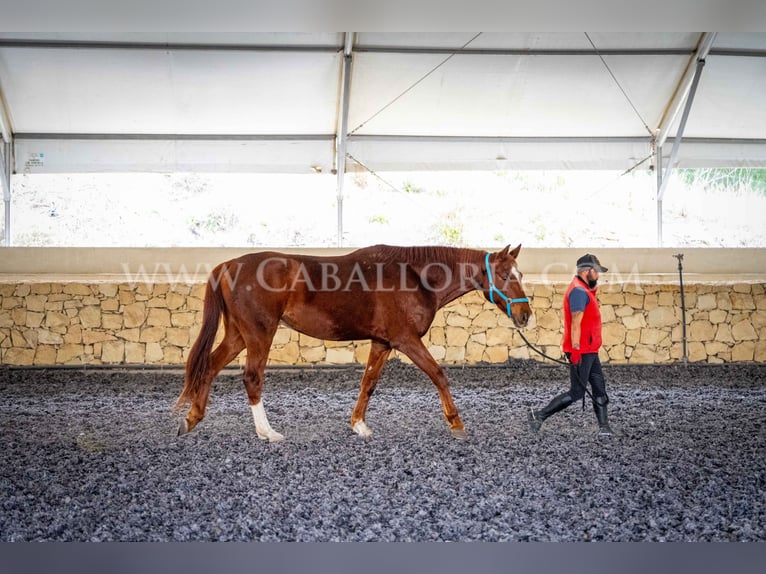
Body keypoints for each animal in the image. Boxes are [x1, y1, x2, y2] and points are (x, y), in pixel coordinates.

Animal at [176, 246, 532, 440]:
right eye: (505, 276)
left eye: (521, 274)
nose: (525, 314)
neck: (415, 276)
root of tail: (227, 265)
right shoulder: (406, 340)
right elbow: (438, 375)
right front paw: (456, 423)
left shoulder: (383, 342)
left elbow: (368, 383)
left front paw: (359, 425)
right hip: (259, 334)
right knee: (252, 378)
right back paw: (267, 432)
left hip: (238, 335)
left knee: (209, 367)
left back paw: (192, 419)